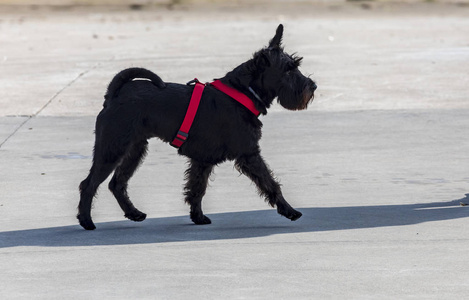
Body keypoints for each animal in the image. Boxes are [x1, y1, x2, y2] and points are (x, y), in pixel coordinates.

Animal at [78, 24, 316, 230]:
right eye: (287, 71)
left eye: (296, 65)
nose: (313, 86)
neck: (242, 92)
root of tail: (115, 94)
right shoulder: (249, 155)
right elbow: (270, 183)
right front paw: (290, 211)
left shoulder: (203, 160)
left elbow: (196, 189)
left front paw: (198, 217)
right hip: (112, 149)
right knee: (89, 184)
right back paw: (87, 222)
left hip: (134, 150)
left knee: (117, 183)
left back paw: (133, 213)